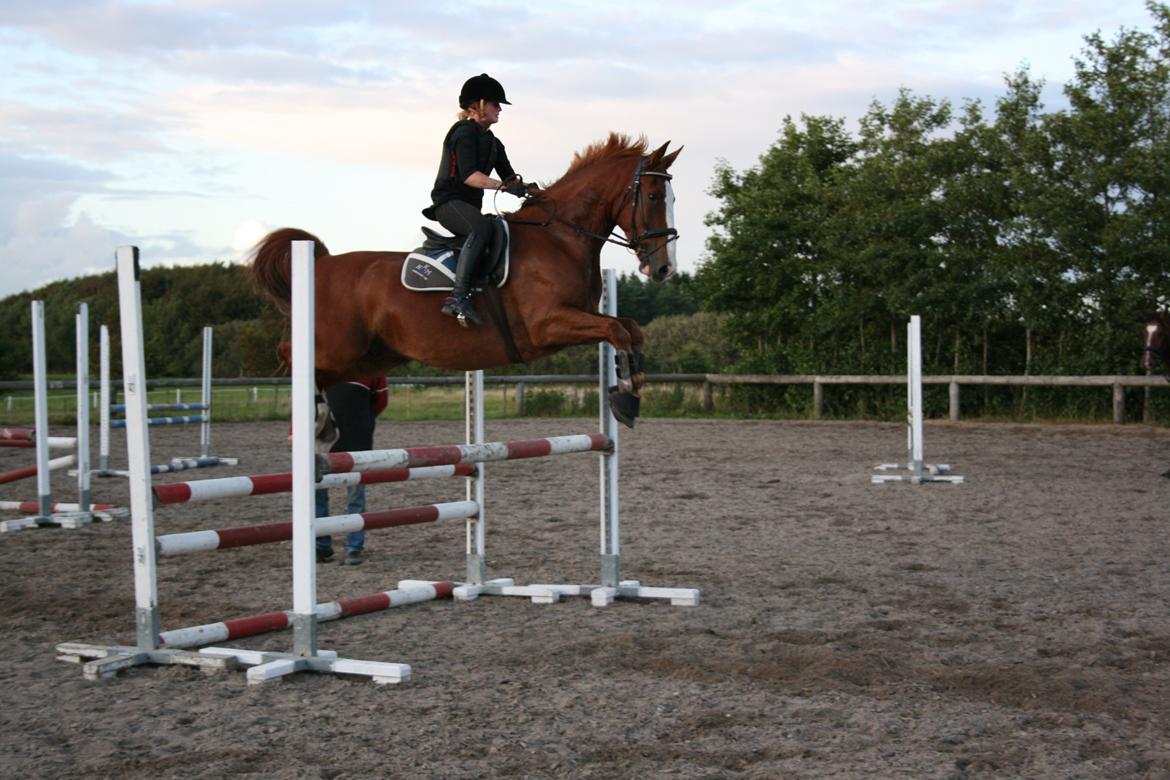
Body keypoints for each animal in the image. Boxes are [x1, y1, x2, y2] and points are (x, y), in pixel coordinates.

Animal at [250, 133, 683, 428]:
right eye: (654, 197)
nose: (663, 269)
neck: (560, 236)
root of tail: (321, 262)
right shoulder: (547, 325)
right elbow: (618, 330)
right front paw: (625, 395)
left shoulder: (580, 316)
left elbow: (630, 328)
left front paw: (631, 386)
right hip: (340, 346)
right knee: (292, 355)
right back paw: (316, 414)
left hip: (372, 356)